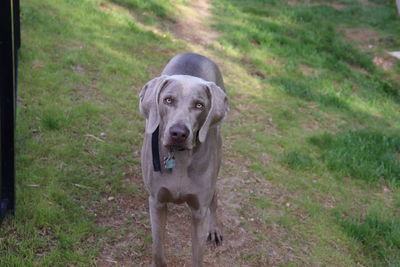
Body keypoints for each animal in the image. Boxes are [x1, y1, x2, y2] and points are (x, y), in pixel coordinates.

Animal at [140, 53, 228, 266]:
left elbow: (198, 256)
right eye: (168, 100)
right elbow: (158, 250)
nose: (178, 133)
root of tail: (197, 54)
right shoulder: (157, 202)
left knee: (214, 199)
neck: (179, 157)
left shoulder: (199, 211)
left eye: (199, 105)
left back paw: (214, 229)